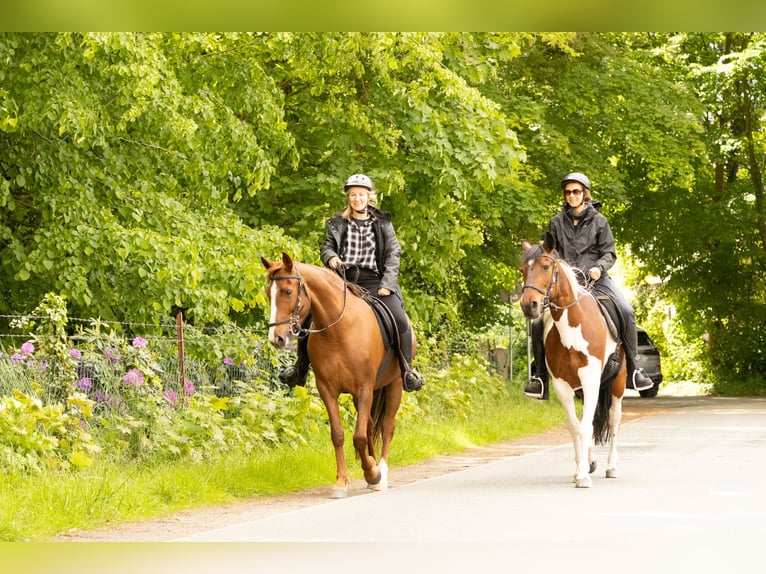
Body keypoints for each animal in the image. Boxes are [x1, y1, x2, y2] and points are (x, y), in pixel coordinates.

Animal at [261, 252, 406, 499]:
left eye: (288, 291)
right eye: (268, 292)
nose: (276, 338)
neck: (338, 331)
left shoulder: (364, 388)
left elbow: (359, 437)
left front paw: (372, 474)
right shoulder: (327, 390)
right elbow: (339, 435)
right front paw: (343, 482)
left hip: (393, 384)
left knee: (387, 427)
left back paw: (382, 474)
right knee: (369, 425)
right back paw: (373, 467)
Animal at [519, 233, 626, 488]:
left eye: (546, 266)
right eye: (522, 270)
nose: (529, 305)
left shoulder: (590, 379)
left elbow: (587, 426)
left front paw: (584, 477)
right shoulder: (563, 385)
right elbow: (574, 426)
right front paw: (581, 470)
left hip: (617, 383)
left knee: (614, 419)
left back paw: (611, 466)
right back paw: (591, 462)